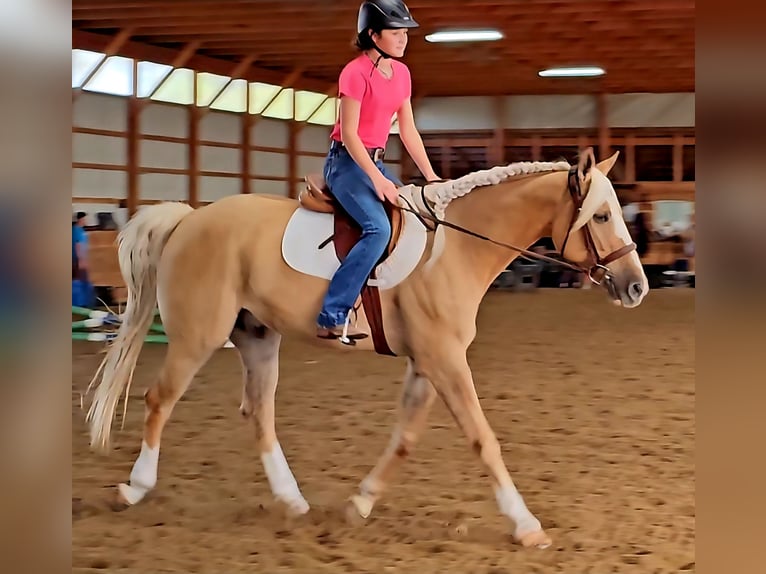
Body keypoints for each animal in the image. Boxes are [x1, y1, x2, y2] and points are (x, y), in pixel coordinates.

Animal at [85, 148, 648, 549]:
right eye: (601, 216)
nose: (637, 286)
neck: (457, 246)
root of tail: (190, 219)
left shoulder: (428, 362)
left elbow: (404, 439)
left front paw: (360, 503)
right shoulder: (445, 361)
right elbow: (483, 439)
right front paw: (526, 524)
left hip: (258, 335)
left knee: (259, 413)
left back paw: (293, 501)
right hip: (198, 335)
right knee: (160, 400)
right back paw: (134, 488)